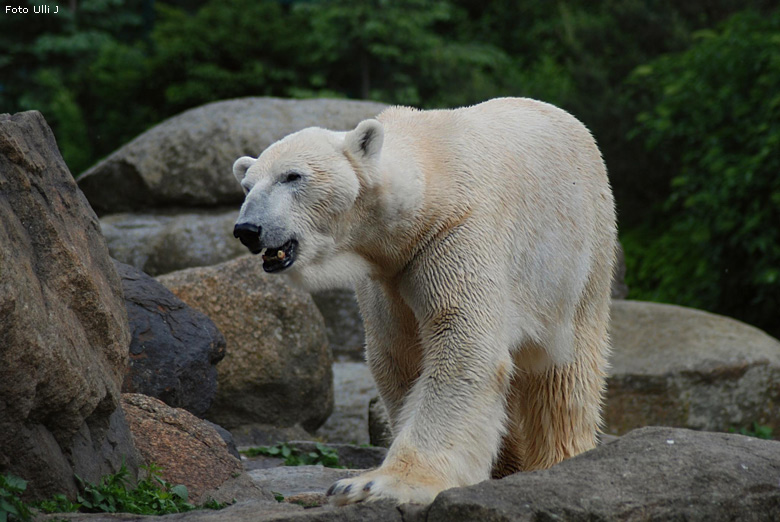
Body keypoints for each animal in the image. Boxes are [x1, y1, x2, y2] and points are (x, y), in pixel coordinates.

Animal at [232, 97, 616, 504]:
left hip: (578, 254)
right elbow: (400, 354)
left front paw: (374, 484)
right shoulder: (387, 276)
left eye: (292, 176)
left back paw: (559, 459)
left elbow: (462, 342)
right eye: (247, 185)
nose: (247, 229)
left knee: (565, 374)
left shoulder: (455, 232)